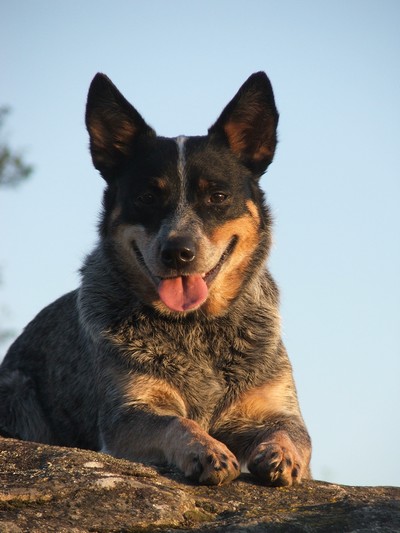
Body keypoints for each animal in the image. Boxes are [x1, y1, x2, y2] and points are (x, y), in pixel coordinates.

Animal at [0, 72, 312, 484]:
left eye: (217, 195)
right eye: (147, 196)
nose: (177, 251)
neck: (197, 329)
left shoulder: (276, 408)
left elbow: (290, 433)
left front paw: (281, 455)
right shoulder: (128, 411)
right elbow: (176, 422)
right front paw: (207, 450)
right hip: (16, 390)